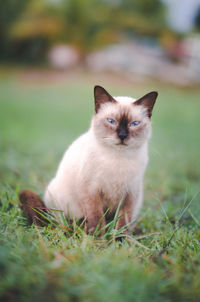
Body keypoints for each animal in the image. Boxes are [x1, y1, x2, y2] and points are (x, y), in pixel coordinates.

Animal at [19, 85, 159, 234]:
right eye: (111, 121)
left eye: (134, 124)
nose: (122, 135)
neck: (117, 158)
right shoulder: (91, 191)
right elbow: (96, 218)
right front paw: (97, 237)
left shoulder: (130, 195)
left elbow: (122, 223)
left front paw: (120, 239)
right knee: (63, 220)